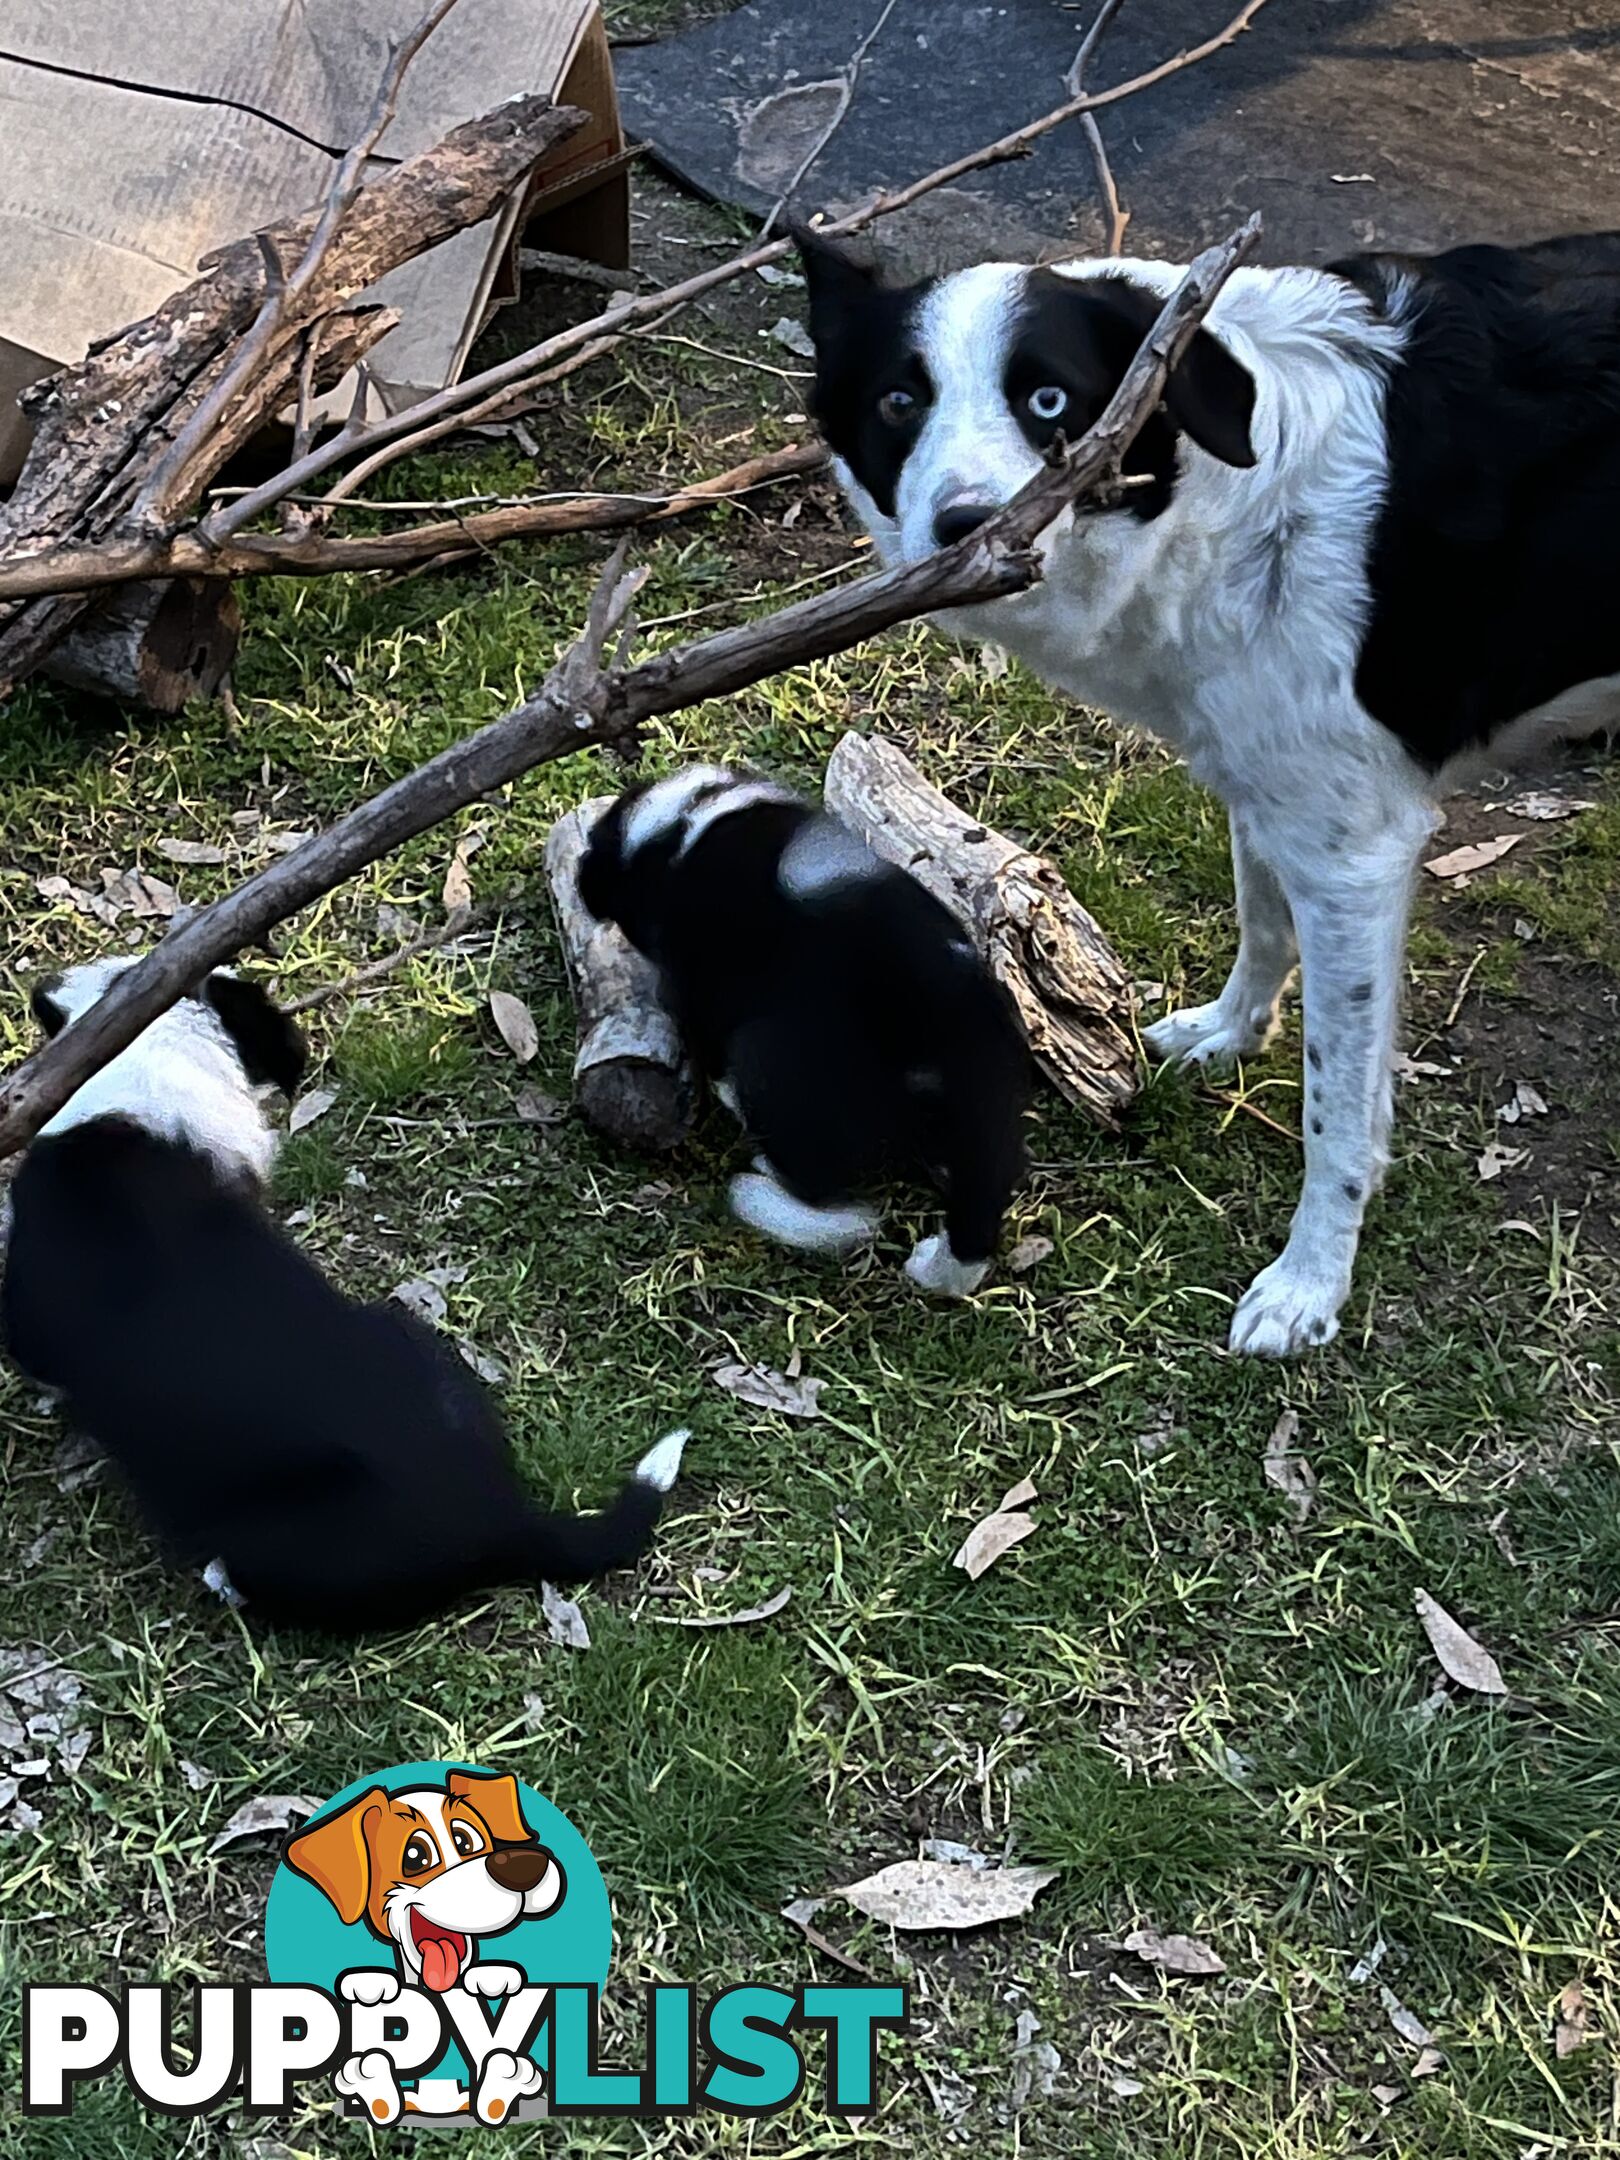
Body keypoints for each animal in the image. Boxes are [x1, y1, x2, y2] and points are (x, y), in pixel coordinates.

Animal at [578, 768, 1028, 1287]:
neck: (683, 829)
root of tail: (954, 1030)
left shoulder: (701, 982)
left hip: (773, 1060)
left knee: (827, 1193)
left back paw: (762, 1179)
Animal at [803, 227, 1620, 1356]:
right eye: (898, 401)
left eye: (1050, 401)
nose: (967, 527)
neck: (1233, 490)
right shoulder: (1269, 784)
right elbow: (1261, 921)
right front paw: (1230, 1034)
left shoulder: (1357, 854)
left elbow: (1336, 1105)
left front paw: (1310, 1284)